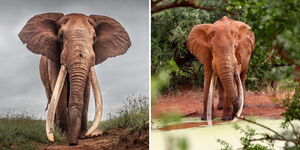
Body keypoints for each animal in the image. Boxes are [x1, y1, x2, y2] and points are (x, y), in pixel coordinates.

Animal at [18, 13, 131, 145]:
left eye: (94, 37)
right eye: (61, 35)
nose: (73, 143)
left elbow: (86, 92)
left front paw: (83, 135)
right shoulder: (54, 58)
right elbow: (61, 90)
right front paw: (64, 135)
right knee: (51, 97)